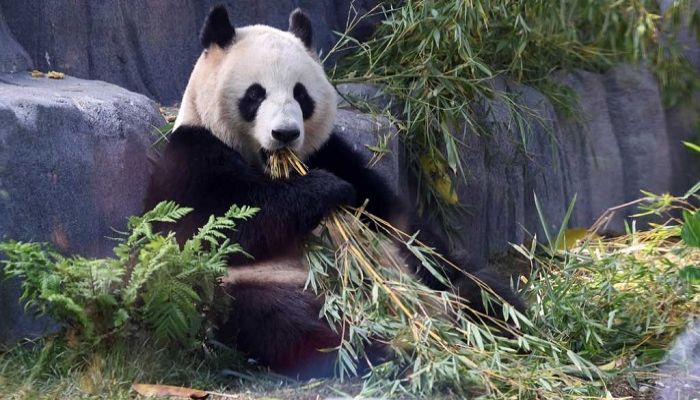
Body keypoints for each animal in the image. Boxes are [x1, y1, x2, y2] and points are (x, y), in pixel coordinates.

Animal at [145, 5, 523, 378]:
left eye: (300, 94)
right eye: (255, 94)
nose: (285, 134)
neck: (273, 166)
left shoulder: (332, 152)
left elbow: (397, 220)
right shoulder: (192, 160)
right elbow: (220, 228)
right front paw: (326, 189)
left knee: (481, 284)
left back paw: (488, 316)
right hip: (260, 287)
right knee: (288, 321)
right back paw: (386, 347)